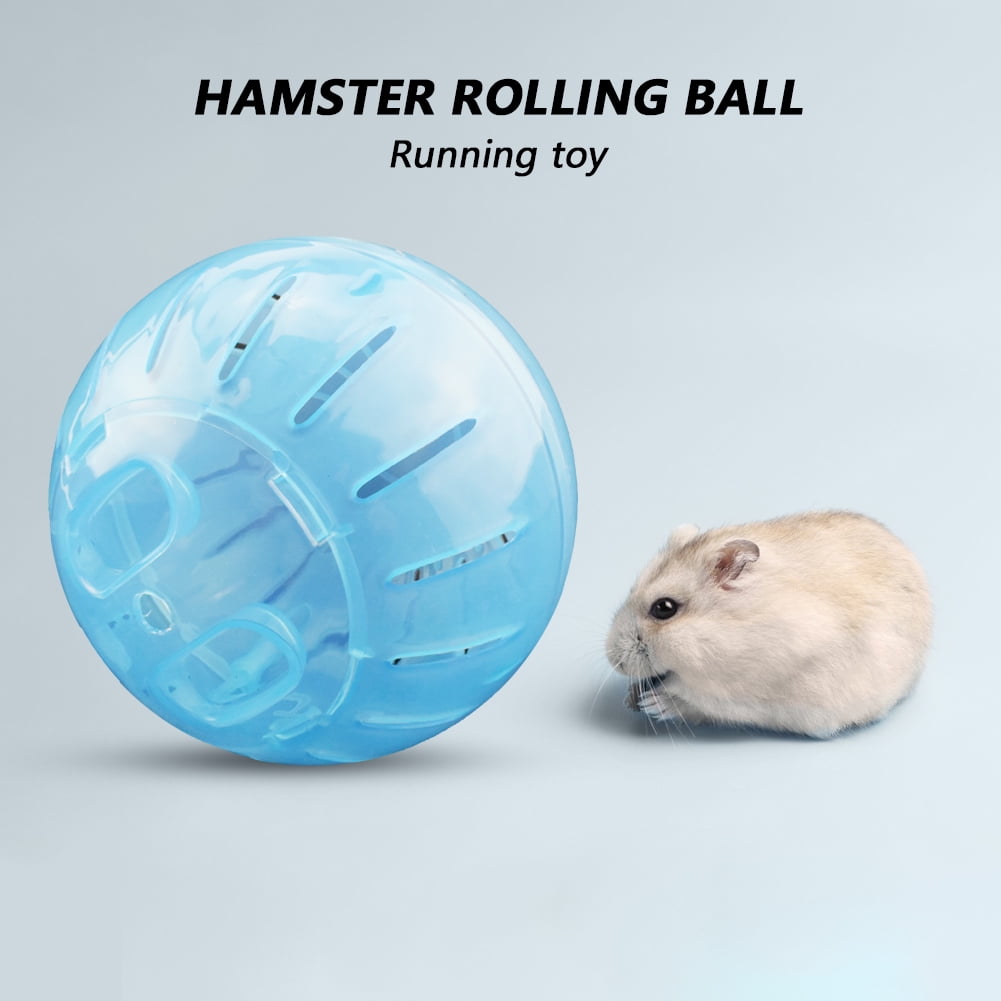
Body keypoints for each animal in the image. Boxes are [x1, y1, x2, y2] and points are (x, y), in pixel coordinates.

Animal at [605, 512, 932, 738]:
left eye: (664, 608)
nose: (613, 660)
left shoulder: (742, 689)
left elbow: (691, 697)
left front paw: (651, 703)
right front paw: (630, 699)